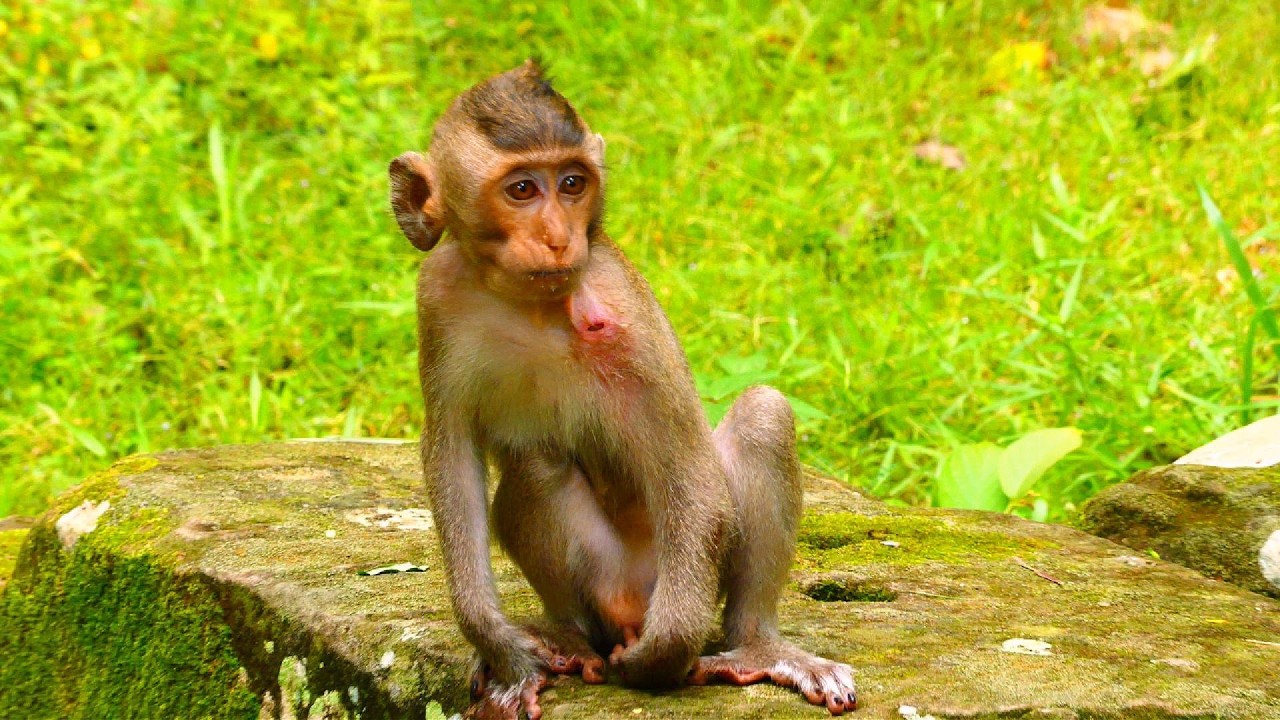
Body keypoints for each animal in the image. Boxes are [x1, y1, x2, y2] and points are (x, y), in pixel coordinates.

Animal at [389, 60, 857, 719]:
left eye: (572, 183)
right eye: (522, 190)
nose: (560, 237)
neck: (527, 304)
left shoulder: (620, 302)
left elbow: (691, 467)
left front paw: (664, 654)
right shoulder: (436, 295)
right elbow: (452, 456)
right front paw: (500, 648)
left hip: (677, 567)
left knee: (761, 418)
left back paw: (754, 646)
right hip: (604, 578)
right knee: (536, 463)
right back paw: (568, 636)